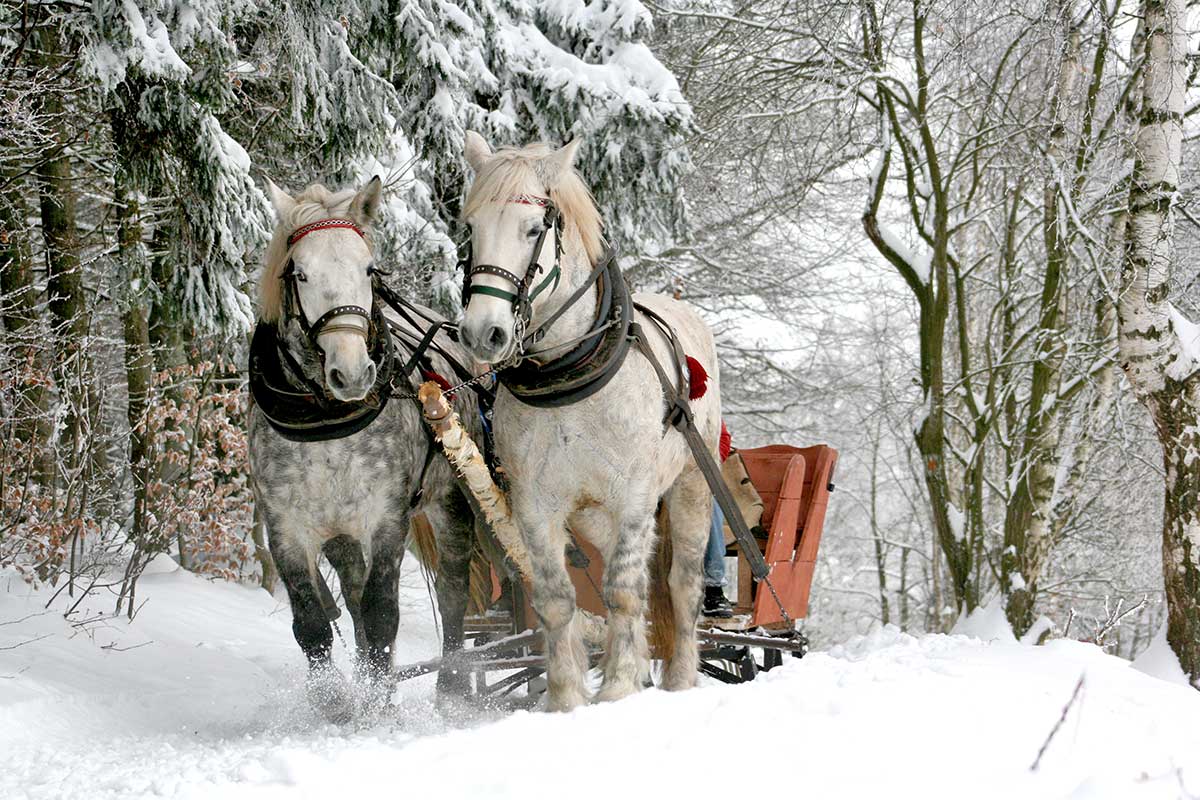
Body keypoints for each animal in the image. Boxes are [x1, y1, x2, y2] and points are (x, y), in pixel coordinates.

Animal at [456, 134, 720, 710]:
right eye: (471, 228)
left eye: (534, 229)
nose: (483, 333)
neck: (569, 376)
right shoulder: (535, 505)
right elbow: (558, 598)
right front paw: (566, 698)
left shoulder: (636, 496)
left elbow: (623, 590)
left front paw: (618, 687)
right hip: (594, 514)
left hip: (690, 485)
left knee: (680, 583)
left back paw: (680, 678)